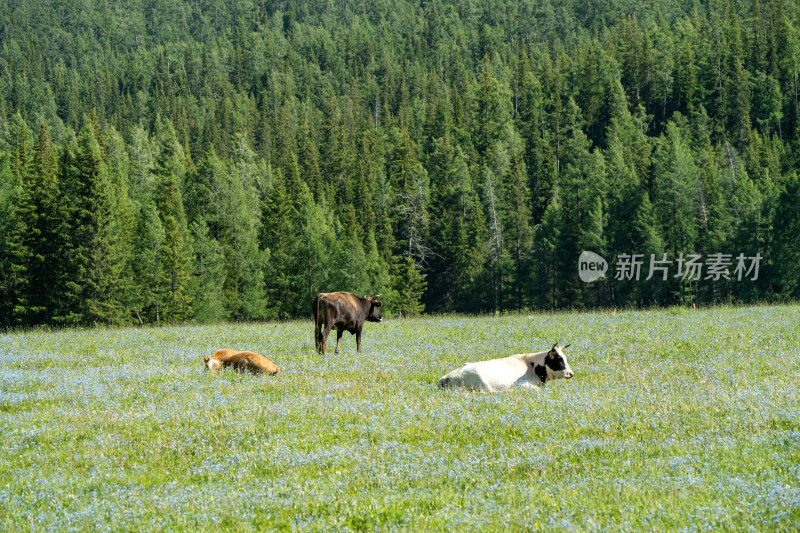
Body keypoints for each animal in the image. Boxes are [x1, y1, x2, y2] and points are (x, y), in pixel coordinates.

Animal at [438, 344, 576, 390]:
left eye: (565, 358)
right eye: (559, 360)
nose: (571, 373)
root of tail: (446, 377)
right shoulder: (521, 383)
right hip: (481, 380)